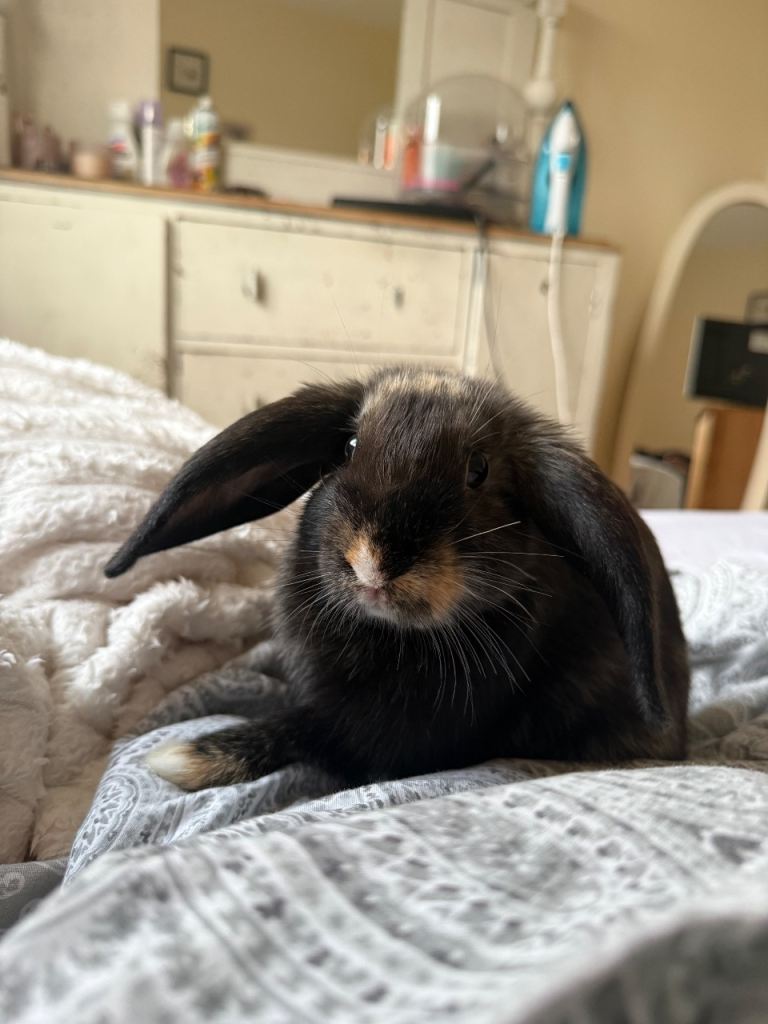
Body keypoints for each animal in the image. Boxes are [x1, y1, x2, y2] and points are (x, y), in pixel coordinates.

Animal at [105, 367, 689, 790]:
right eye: (348, 448)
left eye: (478, 471)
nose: (373, 562)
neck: (385, 634)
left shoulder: (391, 735)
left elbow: (306, 730)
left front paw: (182, 758)